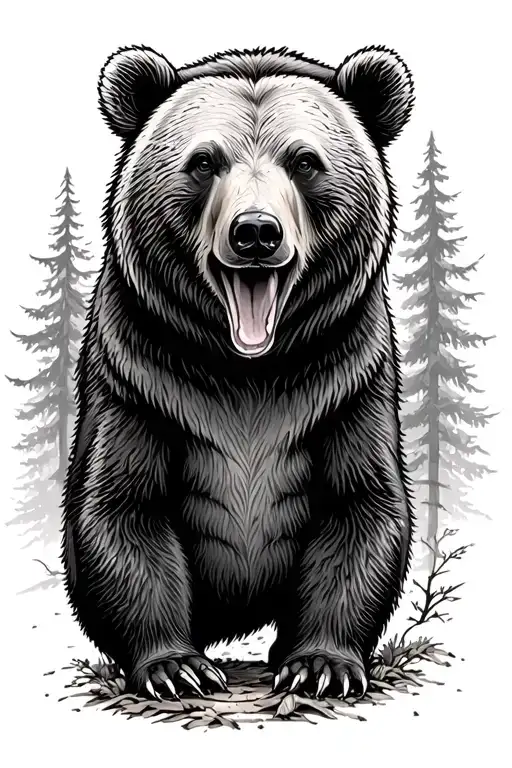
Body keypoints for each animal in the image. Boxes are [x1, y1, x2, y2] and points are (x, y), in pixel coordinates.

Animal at [62, 44, 415, 701]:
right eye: (204, 161)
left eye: (304, 160)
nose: (255, 232)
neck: (248, 367)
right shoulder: (140, 378)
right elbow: (123, 508)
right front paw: (175, 666)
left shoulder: (347, 379)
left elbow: (360, 506)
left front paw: (320, 665)